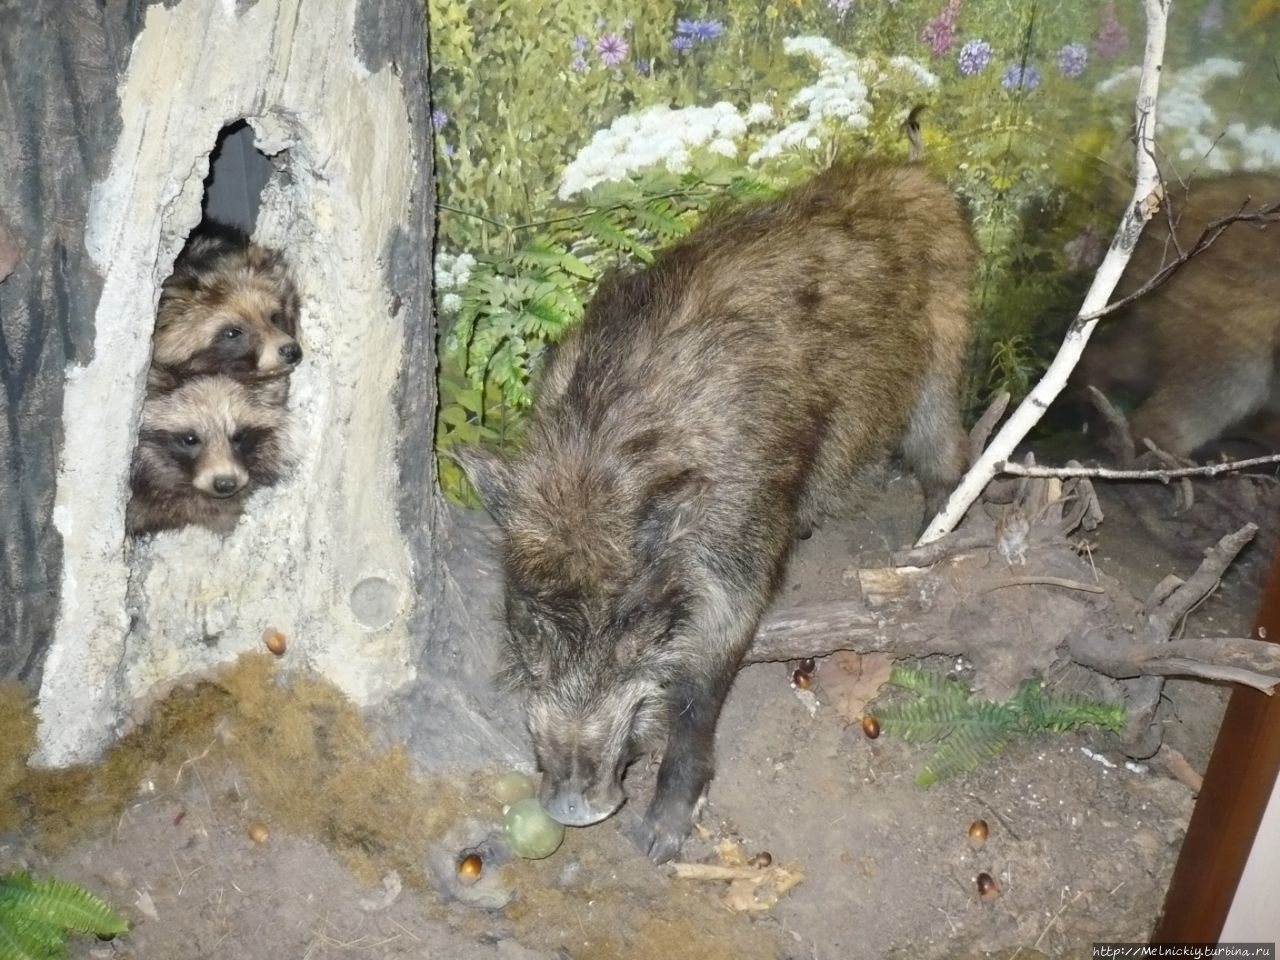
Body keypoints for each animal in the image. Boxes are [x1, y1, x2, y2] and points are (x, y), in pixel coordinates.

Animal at [455, 158, 972, 865]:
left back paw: (922, 549)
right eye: (531, 631)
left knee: (947, 456)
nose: (571, 807)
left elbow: (702, 684)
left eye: (626, 636)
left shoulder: (741, 544)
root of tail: (920, 176)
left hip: (943, 358)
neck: (604, 459)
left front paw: (661, 841)